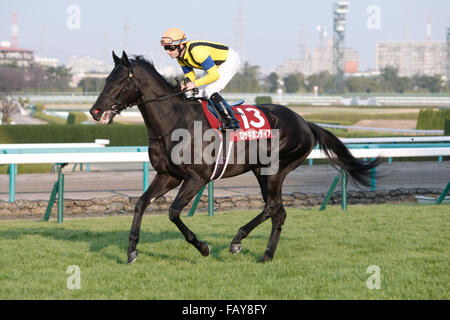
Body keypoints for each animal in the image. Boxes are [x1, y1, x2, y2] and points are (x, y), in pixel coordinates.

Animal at [89, 51, 378, 264]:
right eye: (106, 79)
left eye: (122, 80)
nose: (95, 111)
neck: (175, 122)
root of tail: (306, 123)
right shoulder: (168, 175)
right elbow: (140, 203)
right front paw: (131, 250)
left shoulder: (197, 178)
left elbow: (173, 212)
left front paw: (203, 247)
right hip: (262, 171)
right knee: (278, 212)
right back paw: (266, 255)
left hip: (275, 169)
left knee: (272, 207)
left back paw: (237, 241)